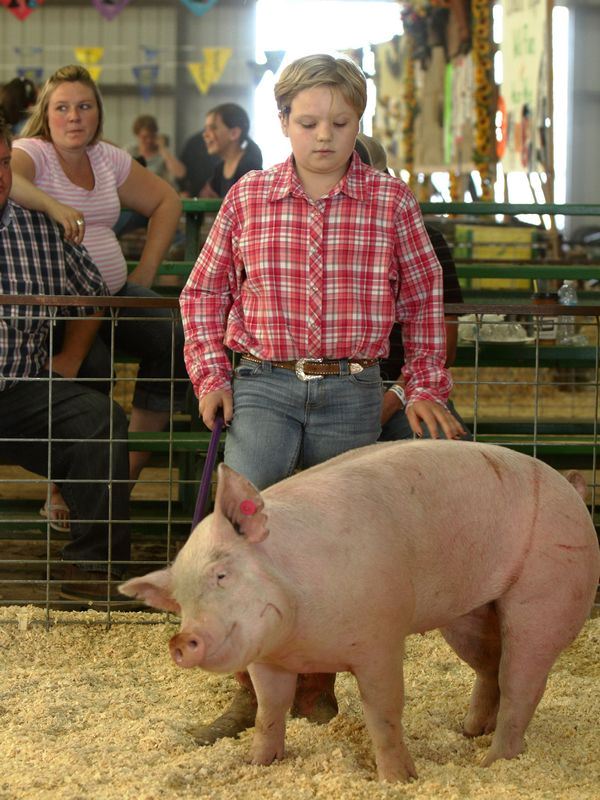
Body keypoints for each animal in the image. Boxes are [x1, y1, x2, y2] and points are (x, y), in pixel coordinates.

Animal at [120, 440, 600, 782]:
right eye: (181, 600)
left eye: (221, 574)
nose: (182, 639)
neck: (300, 634)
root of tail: (572, 491)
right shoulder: (268, 659)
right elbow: (269, 711)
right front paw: (258, 765)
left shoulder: (380, 639)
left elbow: (383, 713)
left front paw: (400, 781)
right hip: (470, 616)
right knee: (490, 670)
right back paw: (469, 732)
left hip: (547, 592)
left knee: (523, 682)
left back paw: (492, 763)